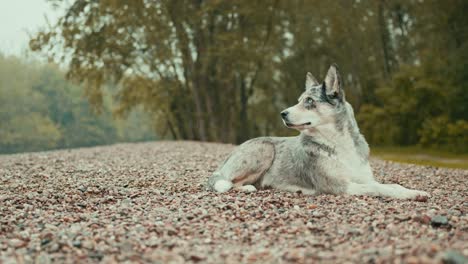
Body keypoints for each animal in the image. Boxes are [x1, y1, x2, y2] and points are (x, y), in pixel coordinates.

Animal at [207, 64, 430, 200]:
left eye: (309, 101)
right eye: (299, 100)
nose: (282, 114)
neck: (339, 143)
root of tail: (231, 155)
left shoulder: (364, 178)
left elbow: (393, 185)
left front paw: (415, 192)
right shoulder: (339, 186)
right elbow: (379, 188)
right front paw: (407, 195)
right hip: (264, 150)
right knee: (228, 181)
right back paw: (247, 187)